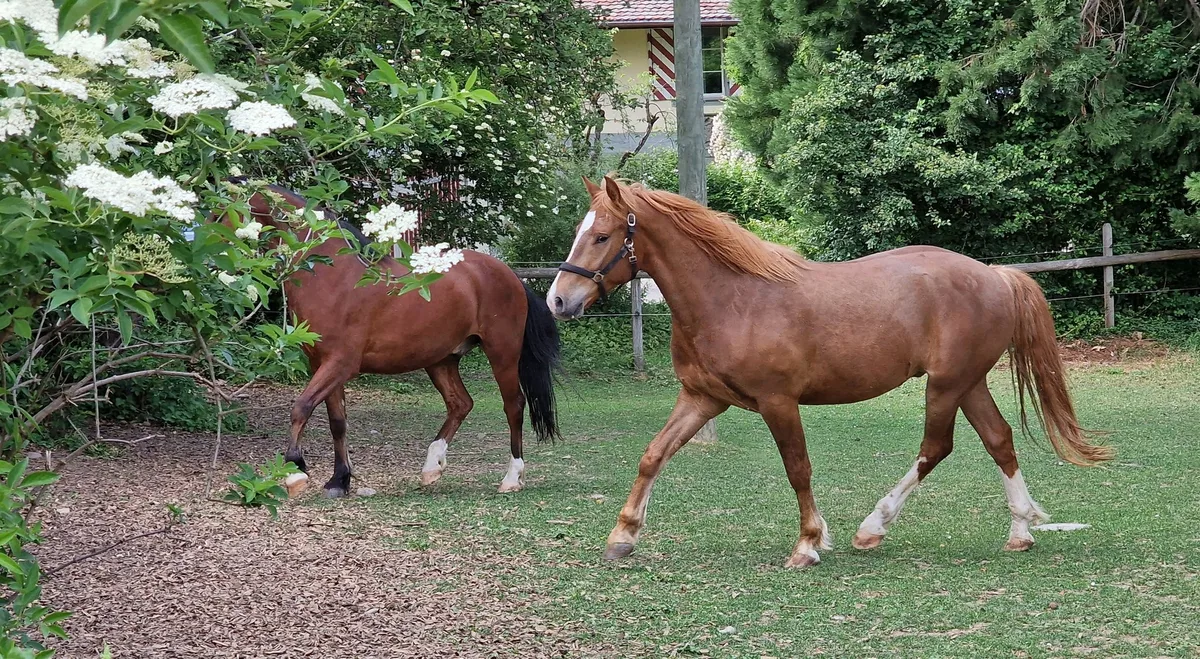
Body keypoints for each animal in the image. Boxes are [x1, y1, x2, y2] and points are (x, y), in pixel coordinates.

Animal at [213, 182, 561, 497]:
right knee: (461, 403)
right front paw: (339, 481)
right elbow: (337, 421)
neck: (334, 277)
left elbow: (301, 407)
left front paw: (294, 471)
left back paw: (511, 478)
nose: (215, 259)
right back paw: (431, 467)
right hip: (441, 359)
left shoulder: (341, 363)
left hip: (502, 353)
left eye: (222, 212)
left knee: (513, 405)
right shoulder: (322, 364)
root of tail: (510, 275)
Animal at [547, 175, 1113, 568]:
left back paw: (874, 526)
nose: (558, 301)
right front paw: (622, 536)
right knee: (999, 439)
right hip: (968, 383)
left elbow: (798, 469)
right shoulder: (701, 399)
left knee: (936, 447)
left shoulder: (778, 402)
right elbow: (652, 456)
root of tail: (995, 276)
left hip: (946, 384)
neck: (732, 299)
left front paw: (808, 544)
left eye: (601, 236)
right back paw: (1020, 531)